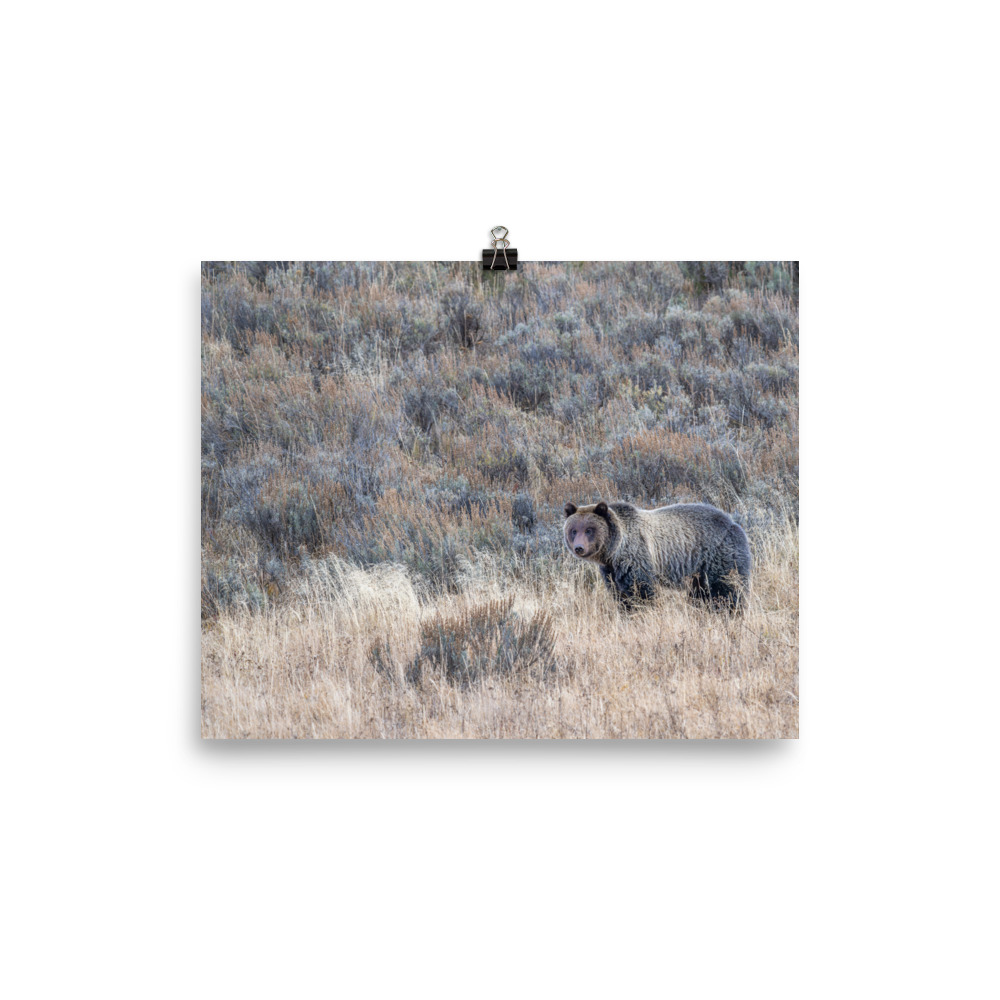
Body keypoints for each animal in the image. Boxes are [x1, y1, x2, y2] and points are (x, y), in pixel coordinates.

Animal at [563, 500, 751, 609]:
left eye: (589, 530)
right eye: (574, 530)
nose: (579, 548)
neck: (614, 551)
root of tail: (734, 523)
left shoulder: (636, 557)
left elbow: (642, 591)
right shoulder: (611, 571)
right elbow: (620, 595)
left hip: (719, 555)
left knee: (727, 589)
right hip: (698, 572)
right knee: (701, 594)